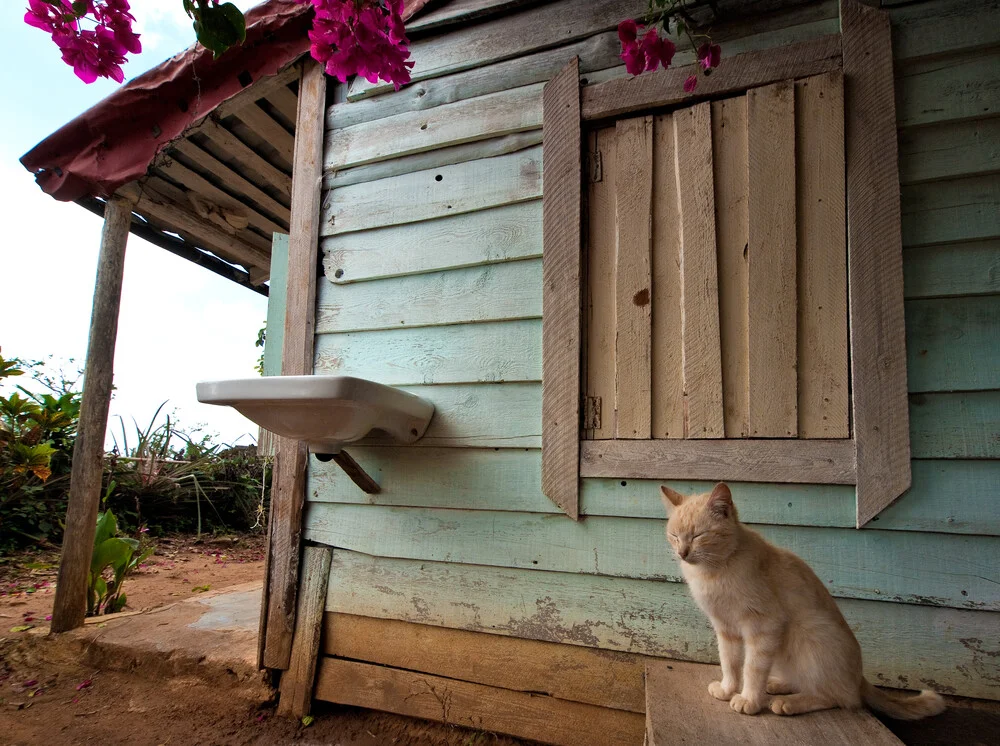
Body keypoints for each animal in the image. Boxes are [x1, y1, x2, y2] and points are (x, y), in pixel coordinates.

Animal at [664, 480, 944, 716]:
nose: (682, 553)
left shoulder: (763, 626)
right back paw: (778, 686)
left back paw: (787, 703)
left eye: (699, 535)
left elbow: (752, 668)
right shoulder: (726, 629)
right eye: (675, 536)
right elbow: (730, 663)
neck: (715, 571)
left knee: (840, 698)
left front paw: (749, 700)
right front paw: (727, 689)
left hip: (808, 633)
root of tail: (860, 677)